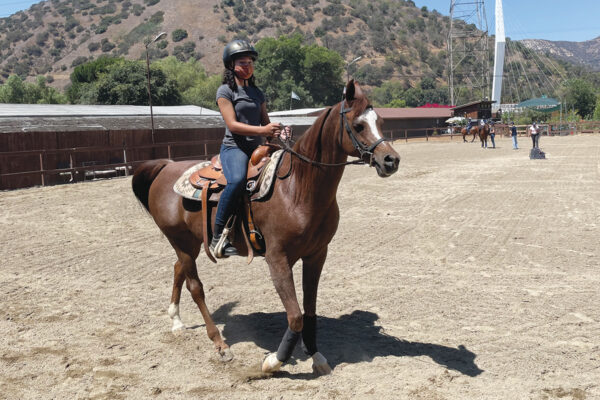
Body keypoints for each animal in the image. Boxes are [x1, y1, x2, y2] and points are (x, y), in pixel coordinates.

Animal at [132, 80, 404, 376]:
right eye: (358, 125)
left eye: (379, 121)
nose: (391, 160)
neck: (298, 188)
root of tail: (165, 167)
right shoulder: (277, 258)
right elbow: (295, 316)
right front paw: (273, 362)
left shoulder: (317, 254)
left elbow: (309, 311)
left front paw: (316, 355)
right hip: (180, 241)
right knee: (196, 287)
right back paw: (220, 344)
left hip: (189, 244)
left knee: (177, 269)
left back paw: (177, 322)